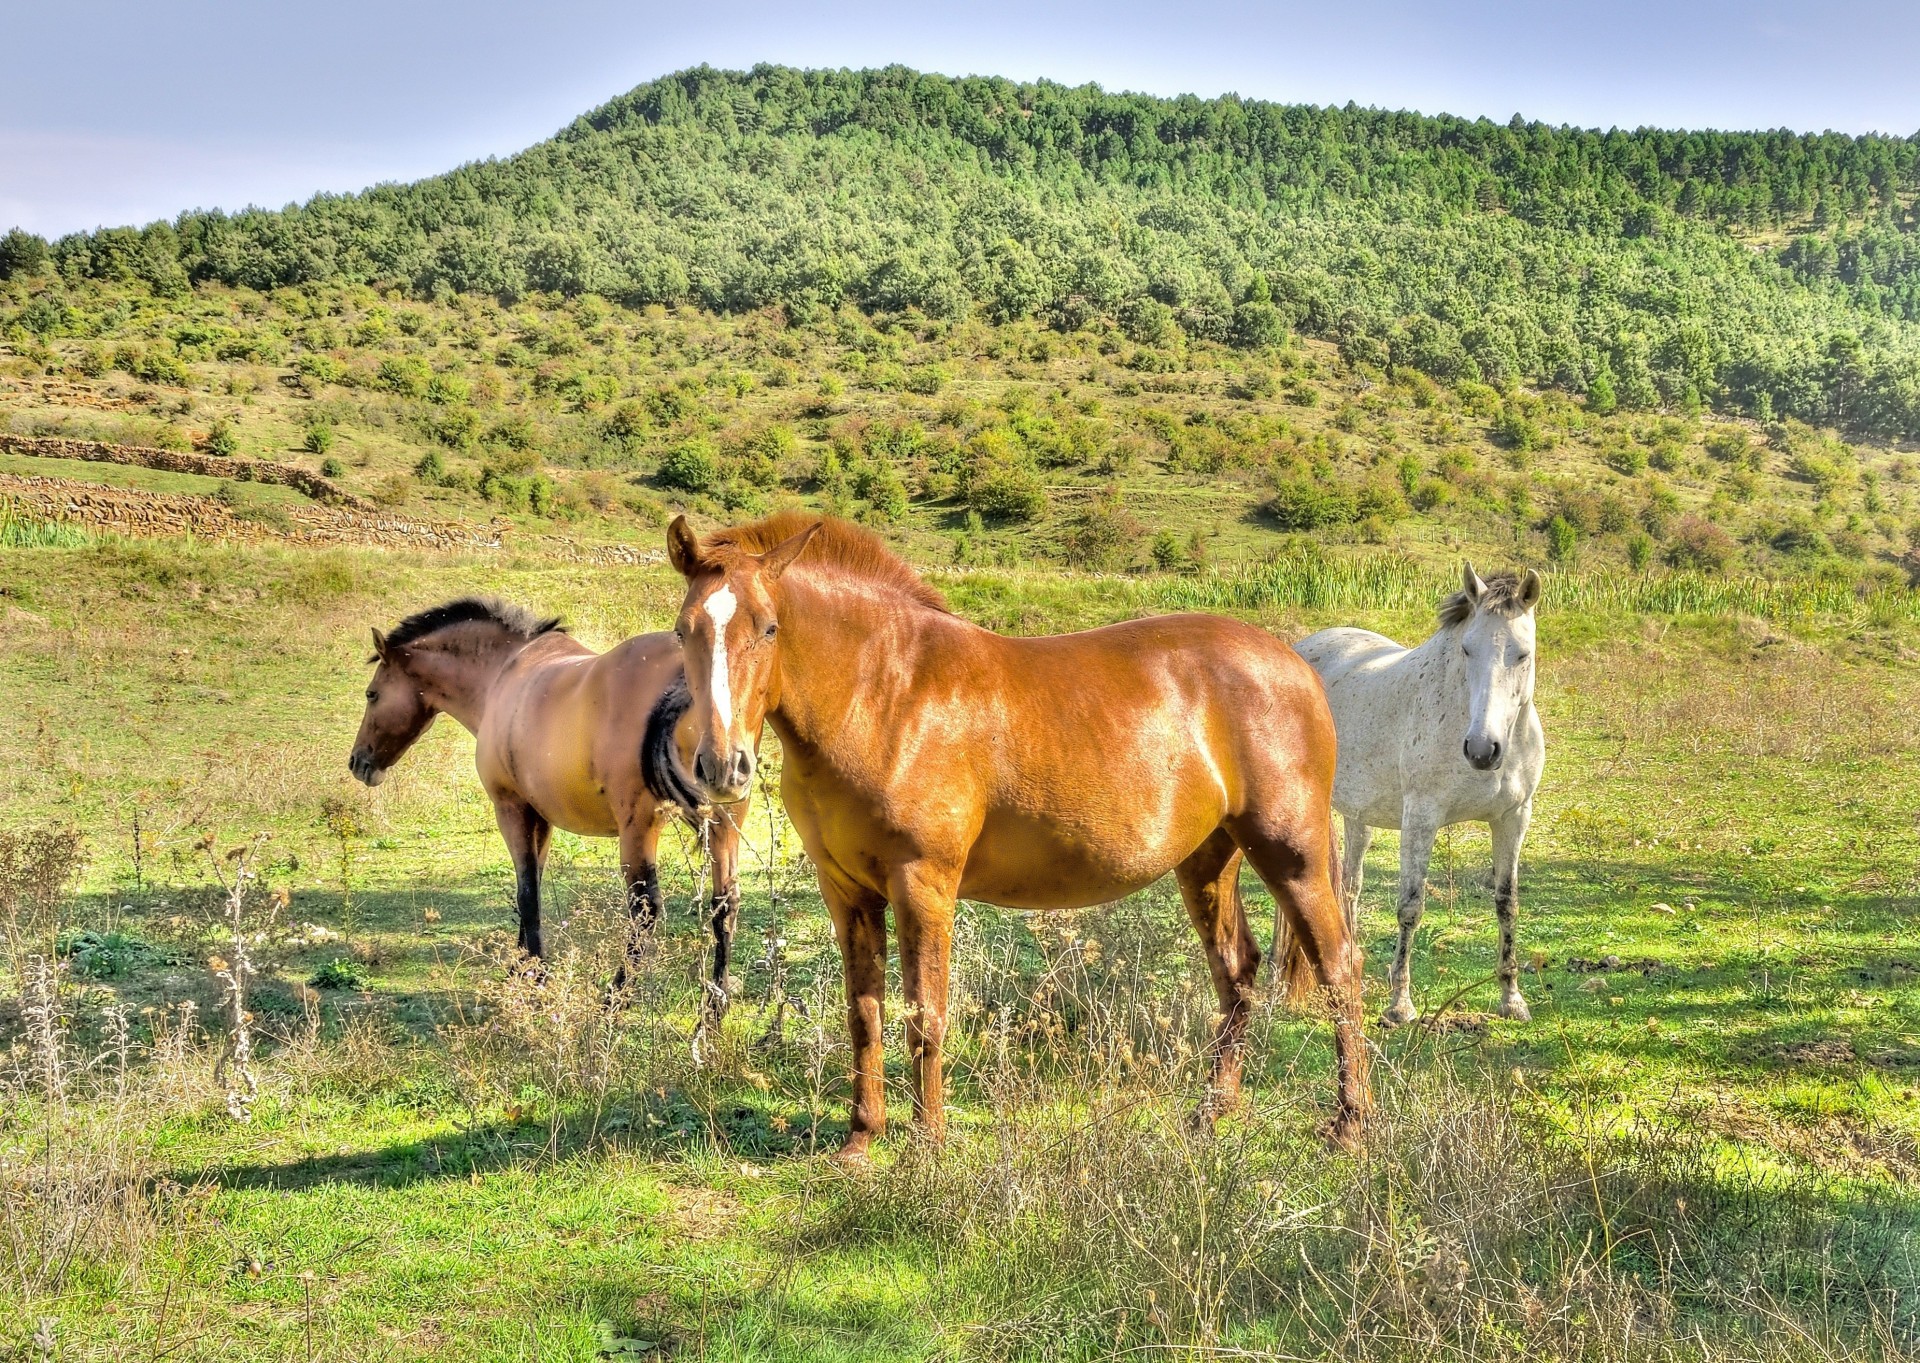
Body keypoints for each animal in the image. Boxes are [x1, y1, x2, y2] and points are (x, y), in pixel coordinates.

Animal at [346, 597, 748, 1005]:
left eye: (371, 694)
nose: (358, 762)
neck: (503, 673)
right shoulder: (541, 819)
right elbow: (532, 886)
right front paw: (521, 966)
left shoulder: (511, 809)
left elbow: (527, 894)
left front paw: (535, 975)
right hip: (725, 823)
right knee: (725, 903)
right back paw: (717, 1002)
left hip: (639, 829)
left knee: (645, 909)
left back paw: (615, 997)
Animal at [660, 511, 1368, 1160]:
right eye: (682, 629)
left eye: (769, 628)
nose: (722, 766)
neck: (886, 694)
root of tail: (1298, 664)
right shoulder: (847, 891)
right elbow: (866, 1012)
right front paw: (862, 1139)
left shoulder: (923, 884)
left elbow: (926, 1012)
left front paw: (928, 1142)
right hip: (1208, 860)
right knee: (1237, 971)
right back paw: (1211, 1113)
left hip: (1291, 853)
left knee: (1340, 967)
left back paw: (1349, 1123)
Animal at [1292, 565, 1545, 1027]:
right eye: (1466, 649)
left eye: (1522, 653)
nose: (1482, 750)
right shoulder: (1421, 821)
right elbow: (1411, 907)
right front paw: (1400, 1005)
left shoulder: (1514, 817)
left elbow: (1507, 904)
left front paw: (1512, 999)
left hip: (1358, 816)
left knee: (1349, 886)